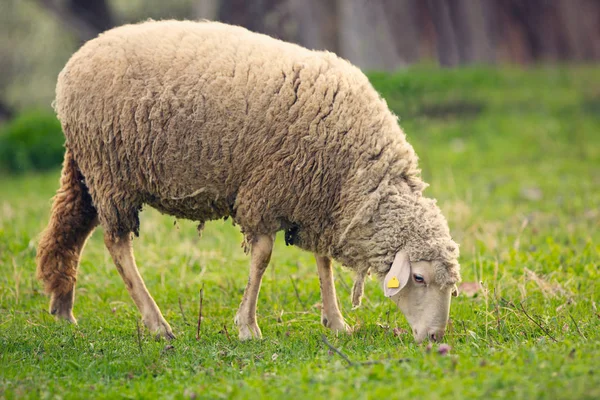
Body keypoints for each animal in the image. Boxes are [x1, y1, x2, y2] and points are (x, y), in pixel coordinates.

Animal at [37, 19, 460, 344]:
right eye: (418, 278)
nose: (436, 337)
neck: (356, 175)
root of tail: (74, 61)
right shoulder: (266, 192)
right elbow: (262, 258)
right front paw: (248, 327)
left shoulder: (316, 197)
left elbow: (322, 262)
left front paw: (336, 321)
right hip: (111, 171)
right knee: (117, 244)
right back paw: (157, 324)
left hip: (88, 170)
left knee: (69, 228)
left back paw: (63, 309)